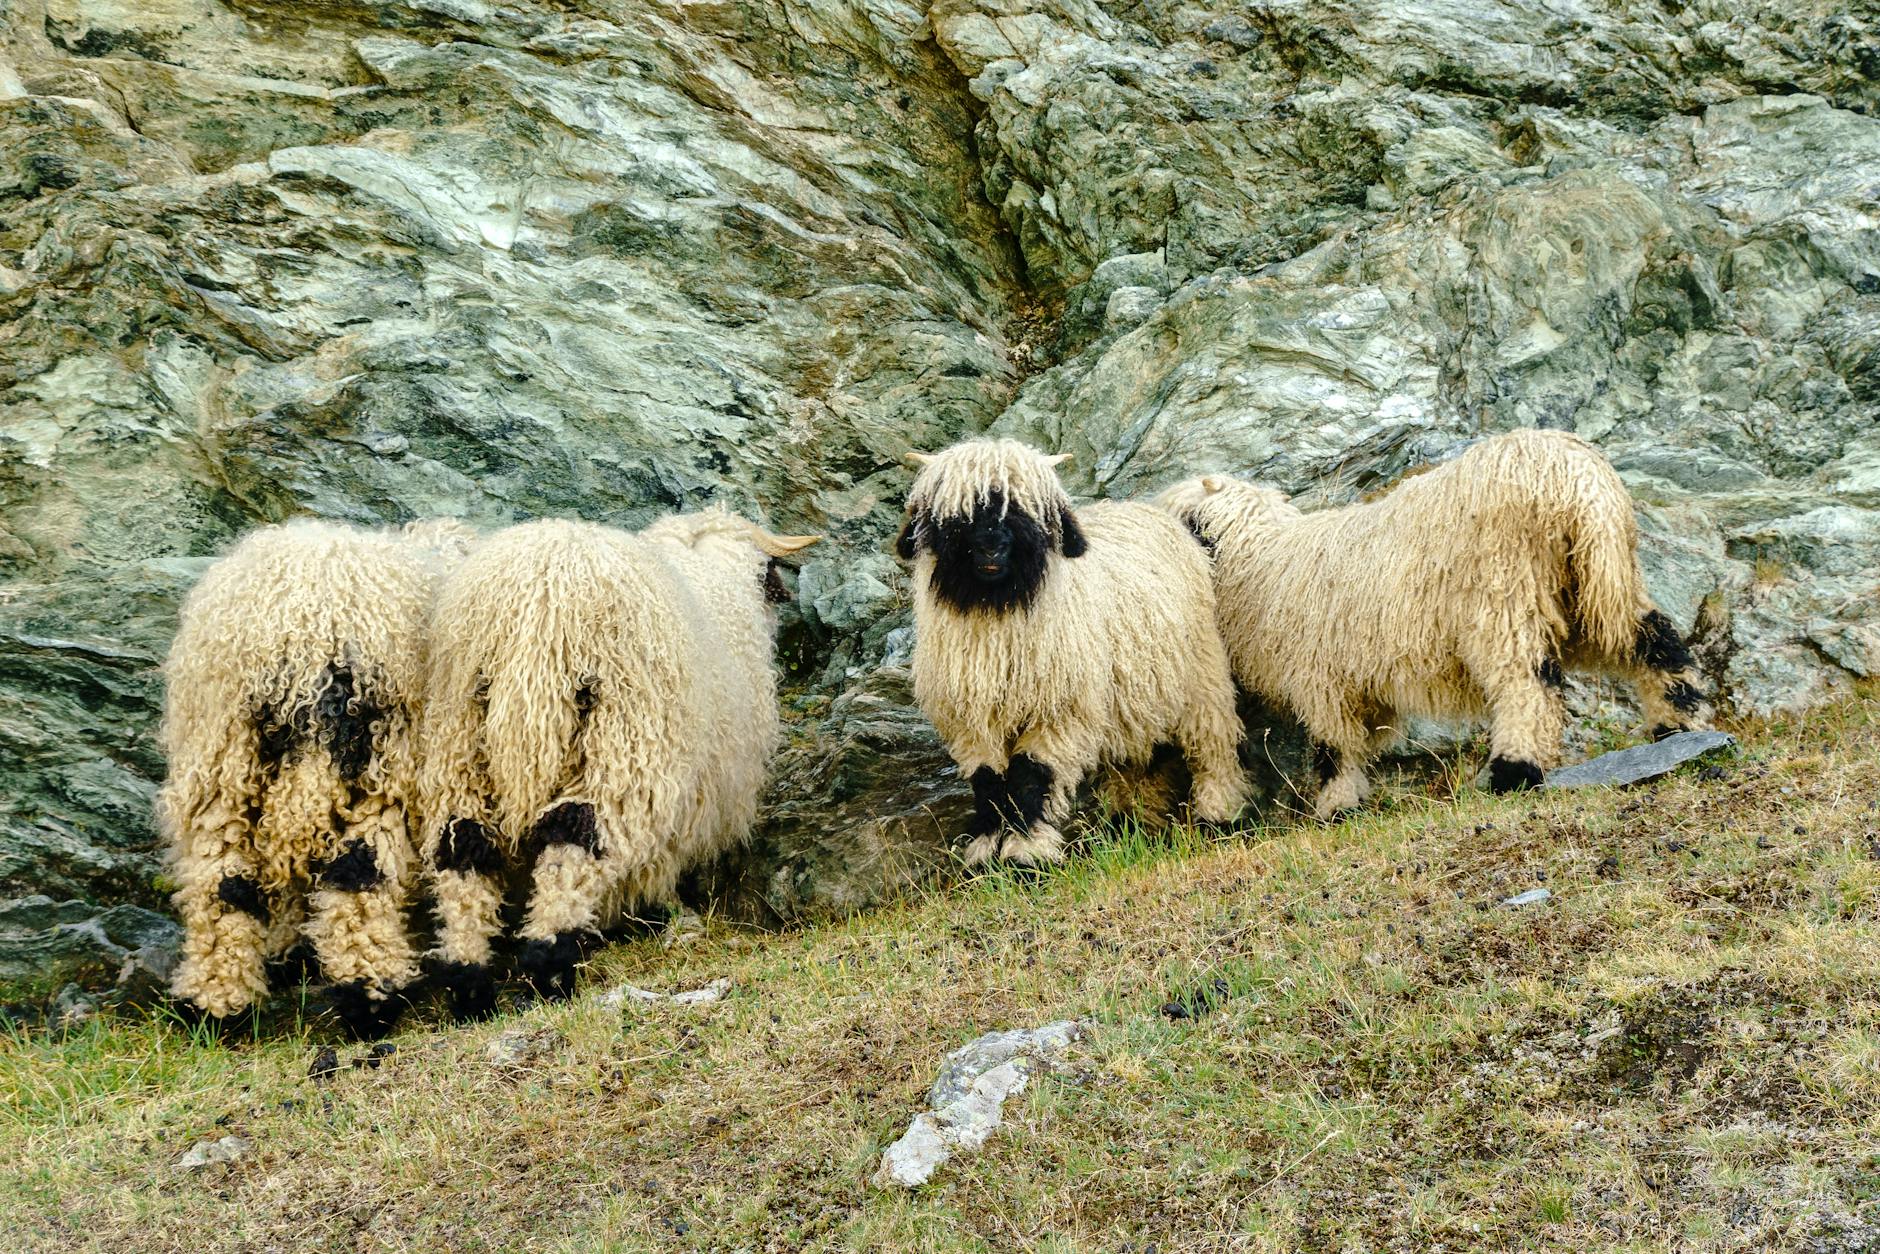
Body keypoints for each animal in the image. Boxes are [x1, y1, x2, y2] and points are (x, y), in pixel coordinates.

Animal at [161, 517, 475, 1039]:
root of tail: (302, 623)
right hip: (377, 762)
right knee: (361, 876)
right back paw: (370, 998)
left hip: (221, 757)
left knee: (221, 882)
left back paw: (216, 1005)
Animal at [418, 508, 819, 1018]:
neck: (712, 580)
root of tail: (535, 606)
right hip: (620, 747)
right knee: (573, 840)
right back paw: (550, 968)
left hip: (458, 742)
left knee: (464, 847)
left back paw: (470, 986)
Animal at [895, 437, 1249, 866]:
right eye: (955, 513)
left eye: (1026, 509)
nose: (991, 549)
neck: (996, 611)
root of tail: (1147, 510)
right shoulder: (970, 720)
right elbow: (987, 779)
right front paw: (986, 850)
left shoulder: (1059, 711)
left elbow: (1030, 774)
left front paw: (1026, 853)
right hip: (1133, 699)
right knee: (1135, 763)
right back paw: (1129, 825)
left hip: (1201, 674)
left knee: (1212, 744)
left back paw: (1219, 813)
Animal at [1156, 428, 1712, 820]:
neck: (1258, 561)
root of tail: (1575, 479)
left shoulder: (1320, 676)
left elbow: (1334, 747)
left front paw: (1338, 806)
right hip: (1594, 583)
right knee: (1653, 639)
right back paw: (1678, 722)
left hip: (1507, 592)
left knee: (1526, 684)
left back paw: (1514, 771)